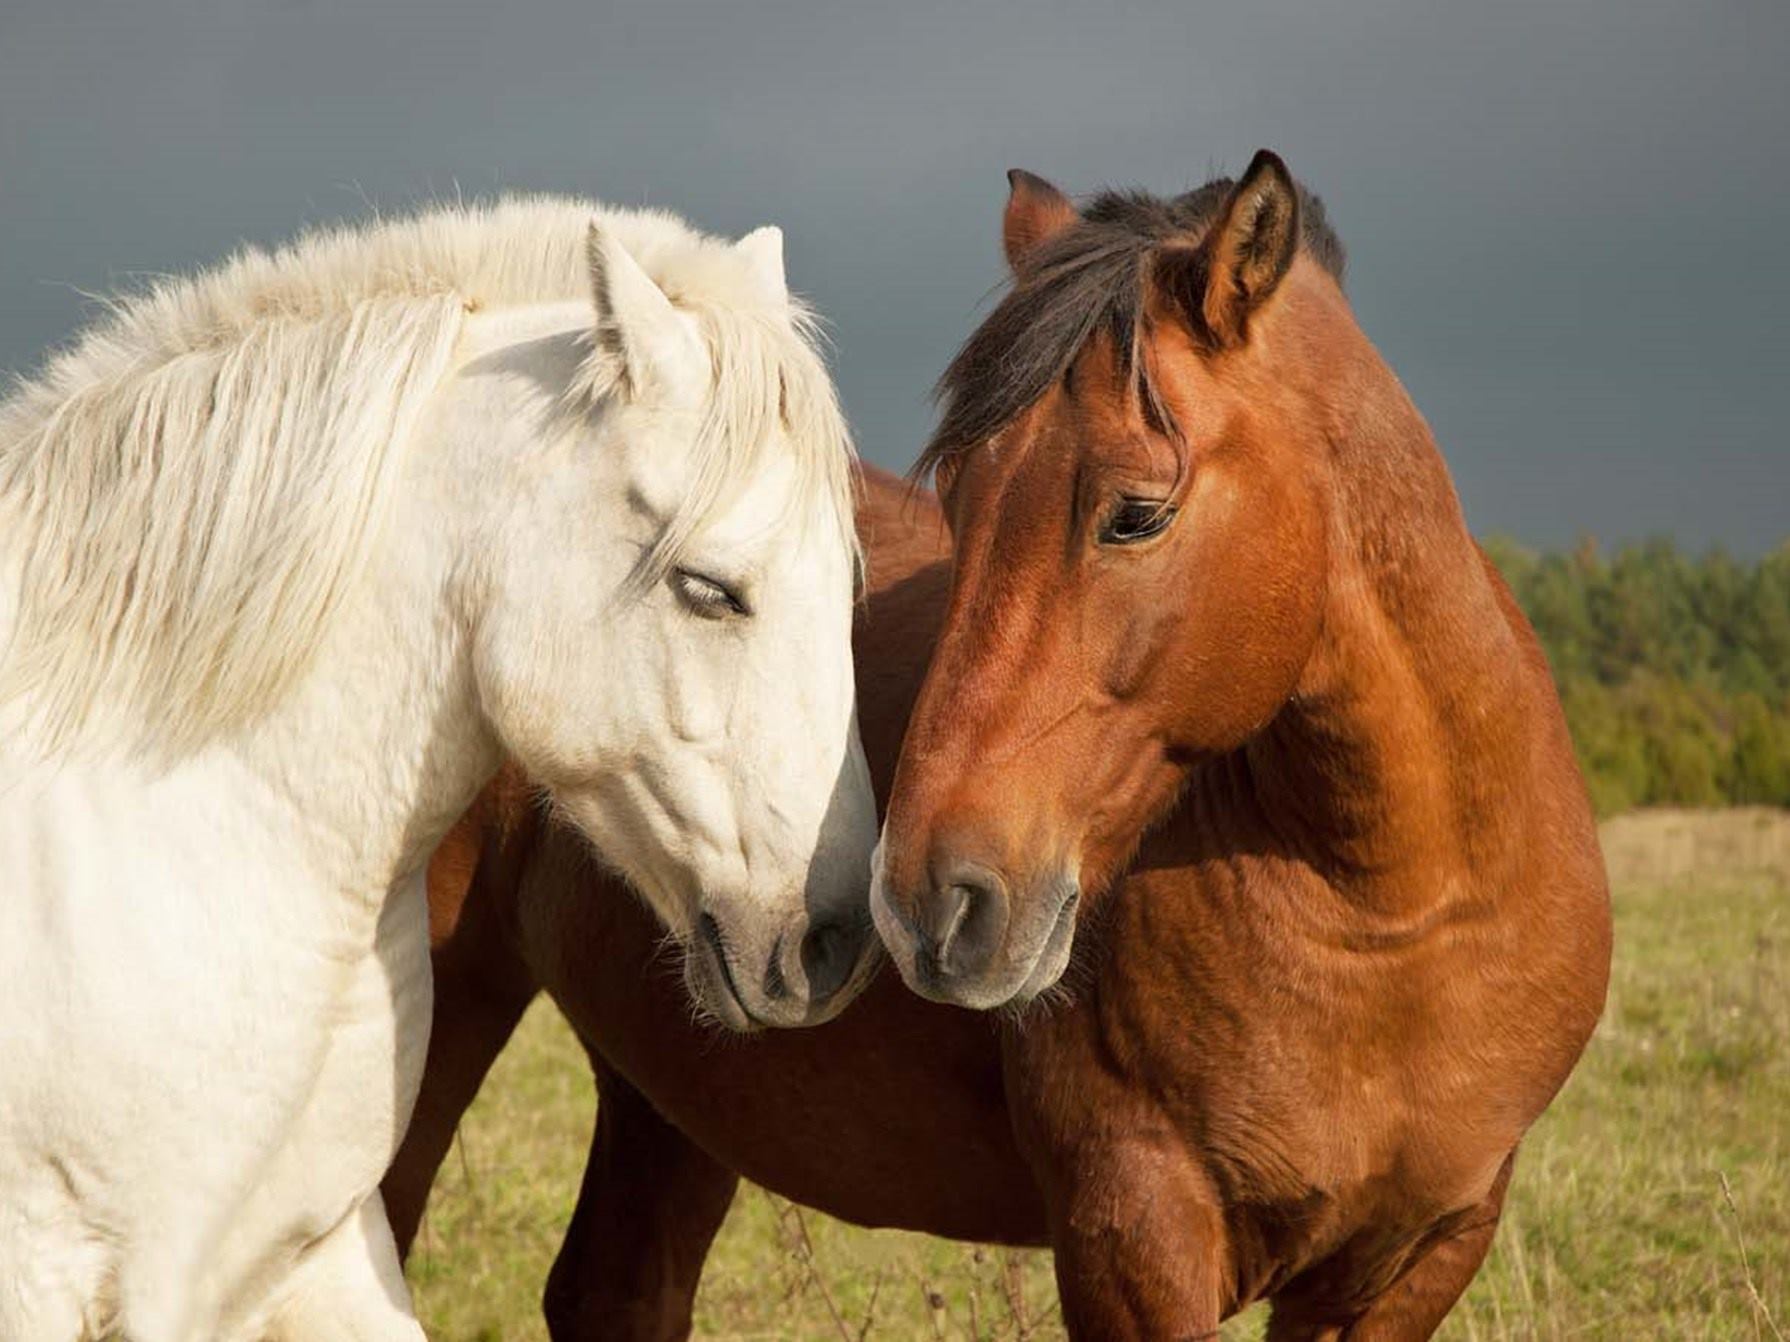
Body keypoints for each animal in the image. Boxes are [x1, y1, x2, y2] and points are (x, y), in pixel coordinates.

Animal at [388, 152, 1611, 1338]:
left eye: (1136, 513)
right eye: (963, 502)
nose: (928, 902)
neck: (1393, 913)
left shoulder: (1416, 1256)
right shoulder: (1133, 1238)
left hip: (673, 1086)